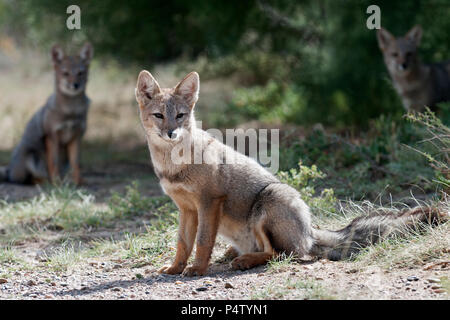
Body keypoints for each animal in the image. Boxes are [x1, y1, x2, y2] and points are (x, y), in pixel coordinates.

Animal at [0, 43, 92, 186]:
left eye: (80, 73)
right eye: (65, 73)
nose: (75, 85)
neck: (71, 111)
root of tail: (10, 171)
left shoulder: (76, 138)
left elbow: (76, 163)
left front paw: (78, 181)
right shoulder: (52, 137)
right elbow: (53, 163)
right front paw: (56, 183)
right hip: (32, 156)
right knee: (30, 179)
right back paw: (46, 182)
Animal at [135, 71, 448, 276]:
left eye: (180, 116)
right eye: (159, 116)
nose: (171, 133)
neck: (174, 166)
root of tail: (311, 230)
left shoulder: (209, 202)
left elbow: (201, 242)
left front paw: (197, 269)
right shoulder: (187, 209)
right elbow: (183, 243)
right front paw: (175, 267)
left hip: (268, 202)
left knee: (281, 253)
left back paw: (244, 261)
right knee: (274, 251)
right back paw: (236, 254)